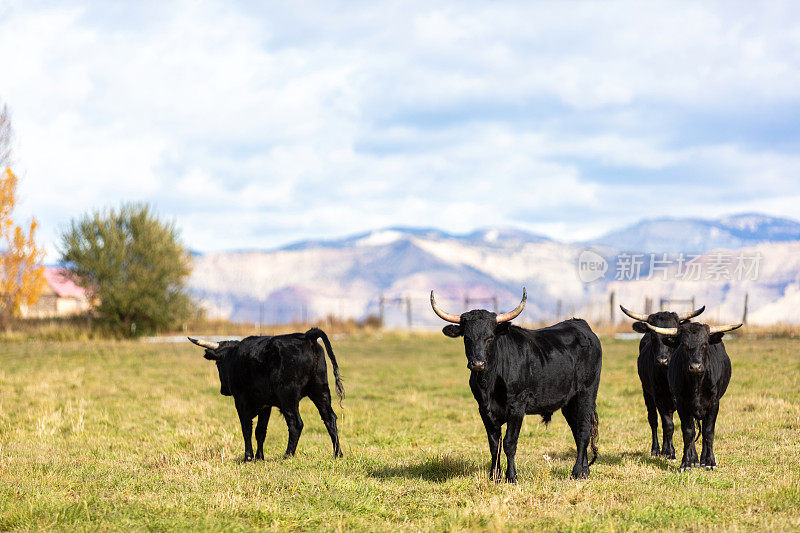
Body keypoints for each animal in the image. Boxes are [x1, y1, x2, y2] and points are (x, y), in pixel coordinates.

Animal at [192, 326, 346, 460]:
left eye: (219, 364)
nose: (223, 390)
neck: (234, 356)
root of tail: (308, 337)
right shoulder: (265, 405)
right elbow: (260, 431)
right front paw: (260, 457)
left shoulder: (241, 400)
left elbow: (246, 428)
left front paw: (248, 457)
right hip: (320, 391)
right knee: (329, 419)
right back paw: (338, 454)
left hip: (288, 396)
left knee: (296, 423)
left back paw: (288, 455)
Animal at [432, 288, 600, 480]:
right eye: (467, 338)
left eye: (490, 337)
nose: (478, 364)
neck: (489, 383)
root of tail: (581, 325)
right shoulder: (484, 409)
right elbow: (494, 445)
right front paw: (494, 476)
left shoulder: (517, 406)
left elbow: (509, 443)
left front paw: (511, 476)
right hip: (569, 402)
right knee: (577, 430)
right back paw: (585, 470)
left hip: (586, 394)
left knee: (583, 430)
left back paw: (577, 471)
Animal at [620, 304, 704, 458]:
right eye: (654, 336)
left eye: (672, 337)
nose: (662, 360)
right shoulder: (659, 397)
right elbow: (668, 425)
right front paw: (669, 452)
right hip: (647, 393)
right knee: (654, 420)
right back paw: (657, 449)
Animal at [640, 320, 740, 470]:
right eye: (683, 345)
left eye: (704, 344)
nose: (695, 367)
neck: (697, 382)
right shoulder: (681, 403)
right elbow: (688, 432)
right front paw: (687, 463)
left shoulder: (714, 403)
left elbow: (708, 432)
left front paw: (710, 462)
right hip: (649, 397)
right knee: (655, 421)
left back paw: (702, 459)